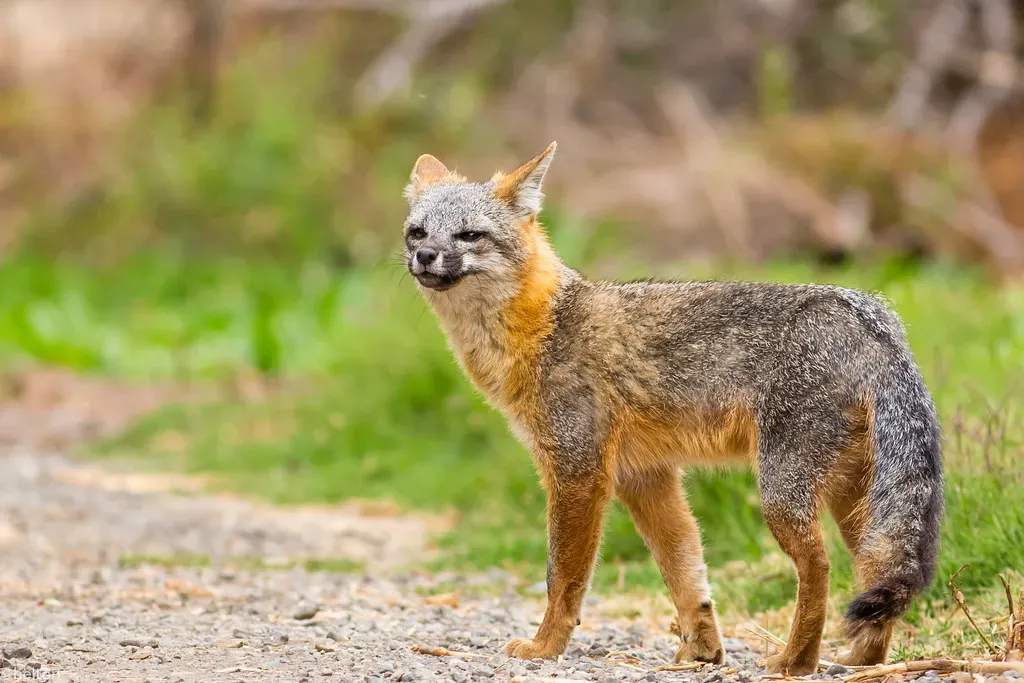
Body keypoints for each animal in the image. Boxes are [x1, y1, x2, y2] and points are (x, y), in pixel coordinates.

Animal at [400, 142, 944, 675]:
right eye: (417, 232)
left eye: (470, 235)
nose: (425, 256)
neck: (541, 325)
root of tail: (871, 313)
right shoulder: (646, 477)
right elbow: (684, 574)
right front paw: (702, 651)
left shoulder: (578, 473)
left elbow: (564, 577)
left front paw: (545, 647)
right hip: (856, 505)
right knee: (874, 574)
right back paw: (863, 660)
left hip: (782, 495)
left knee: (821, 568)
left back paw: (797, 660)